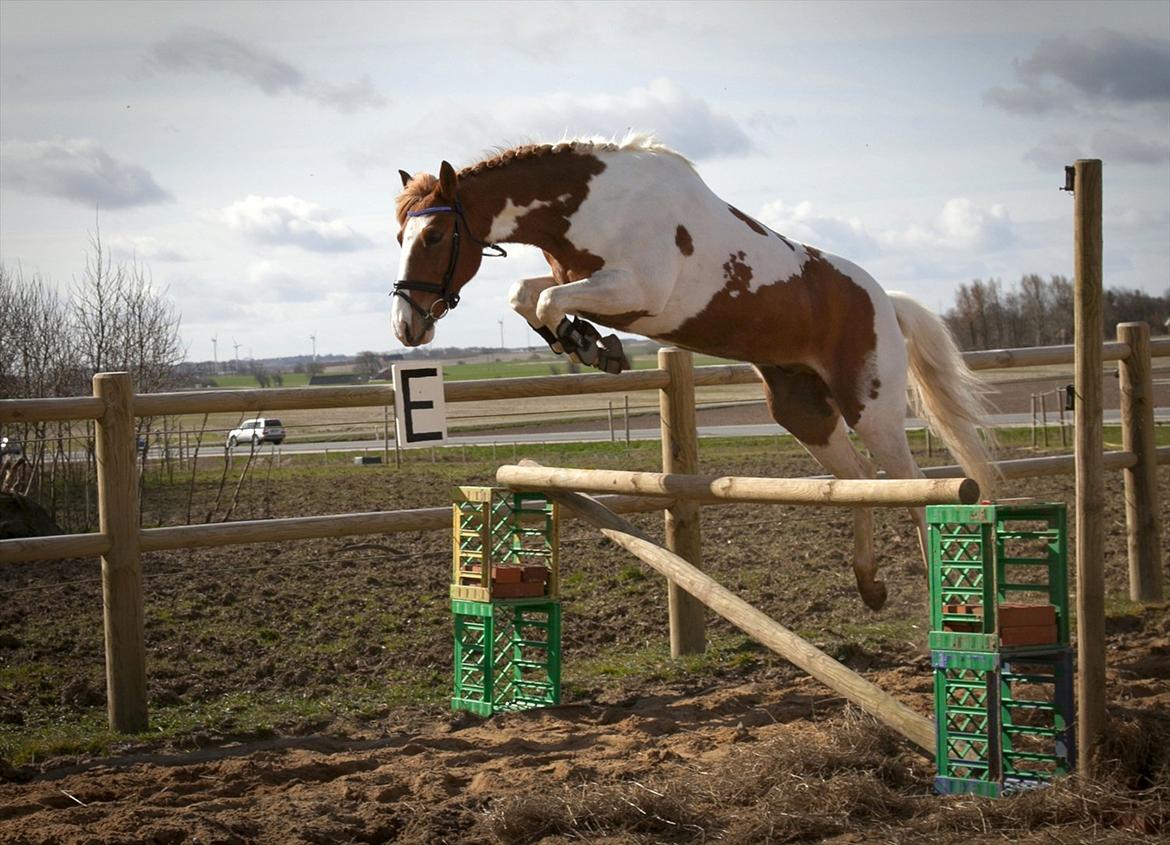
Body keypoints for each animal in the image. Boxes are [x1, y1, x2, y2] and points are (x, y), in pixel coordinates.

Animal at [395, 135, 996, 608]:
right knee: (859, 481)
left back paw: (938, 599)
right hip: (802, 412)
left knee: (912, 488)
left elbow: (543, 301)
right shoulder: (580, 282)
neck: (589, 207)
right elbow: (527, 294)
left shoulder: (637, 293)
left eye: (433, 238)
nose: (406, 326)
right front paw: (590, 345)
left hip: (870, 408)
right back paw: (870, 585)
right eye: (400, 238)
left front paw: (589, 345)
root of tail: (884, 301)